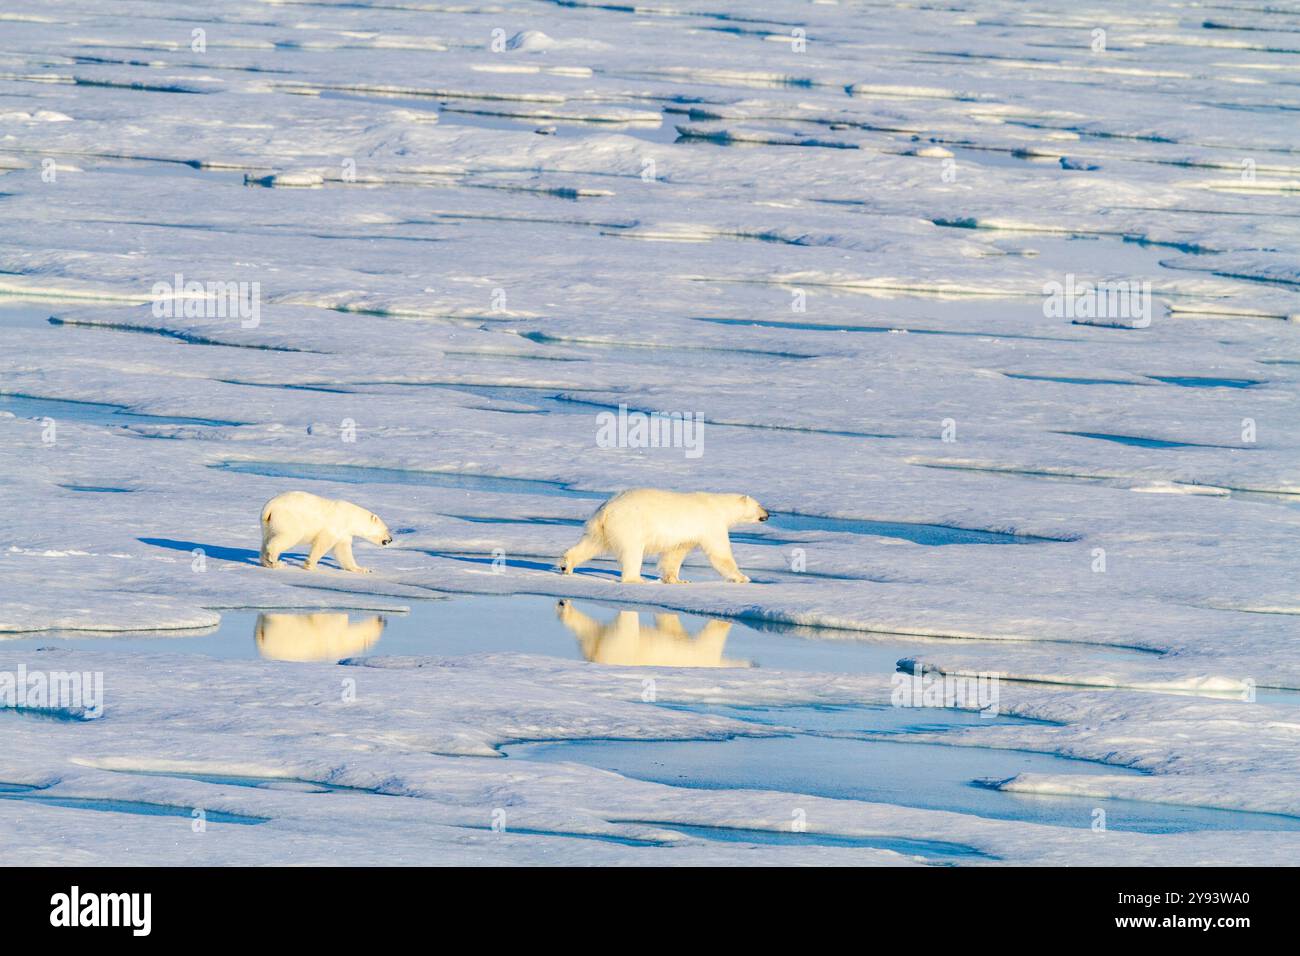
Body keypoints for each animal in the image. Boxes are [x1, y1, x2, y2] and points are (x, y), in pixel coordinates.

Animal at [258, 489, 390, 572]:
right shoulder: (335, 525)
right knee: (290, 536)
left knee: (266, 540)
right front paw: (310, 565)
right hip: (289, 518)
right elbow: (323, 543)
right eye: (386, 529)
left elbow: (343, 551)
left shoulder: (344, 533)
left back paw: (267, 562)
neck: (350, 517)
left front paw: (362, 569)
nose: (390, 539)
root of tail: (269, 507)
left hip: (268, 524)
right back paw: (276, 561)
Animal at [556, 494, 759, 582]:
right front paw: (743, 577)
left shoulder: (686, 534)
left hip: (601, 528)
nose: (766, 513)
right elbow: (720, 554)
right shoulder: (711, 523)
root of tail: (606, 509)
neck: (719, 504)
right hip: (628, 524)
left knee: (591, 543)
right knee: (632, 552)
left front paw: (677, 580)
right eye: (759, 505)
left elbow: (675, 553)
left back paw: (567, 565)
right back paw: (636, 579)